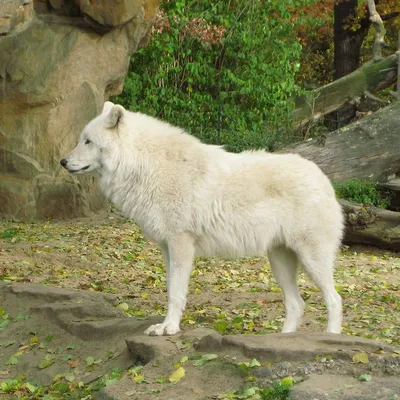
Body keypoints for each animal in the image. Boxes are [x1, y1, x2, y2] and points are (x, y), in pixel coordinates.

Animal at [61, 101, 344, 336]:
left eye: (88, 142)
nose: (63, 162)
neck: (146, 165)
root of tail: (323, 178)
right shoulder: (167, 248)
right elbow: (171, 290)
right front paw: (165, 325)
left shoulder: (181, 244)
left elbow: (176, 293)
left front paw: (169, 329)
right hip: (280, 262)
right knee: (297, 304)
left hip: (311, 259)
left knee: (334, 299)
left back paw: (331, 337)